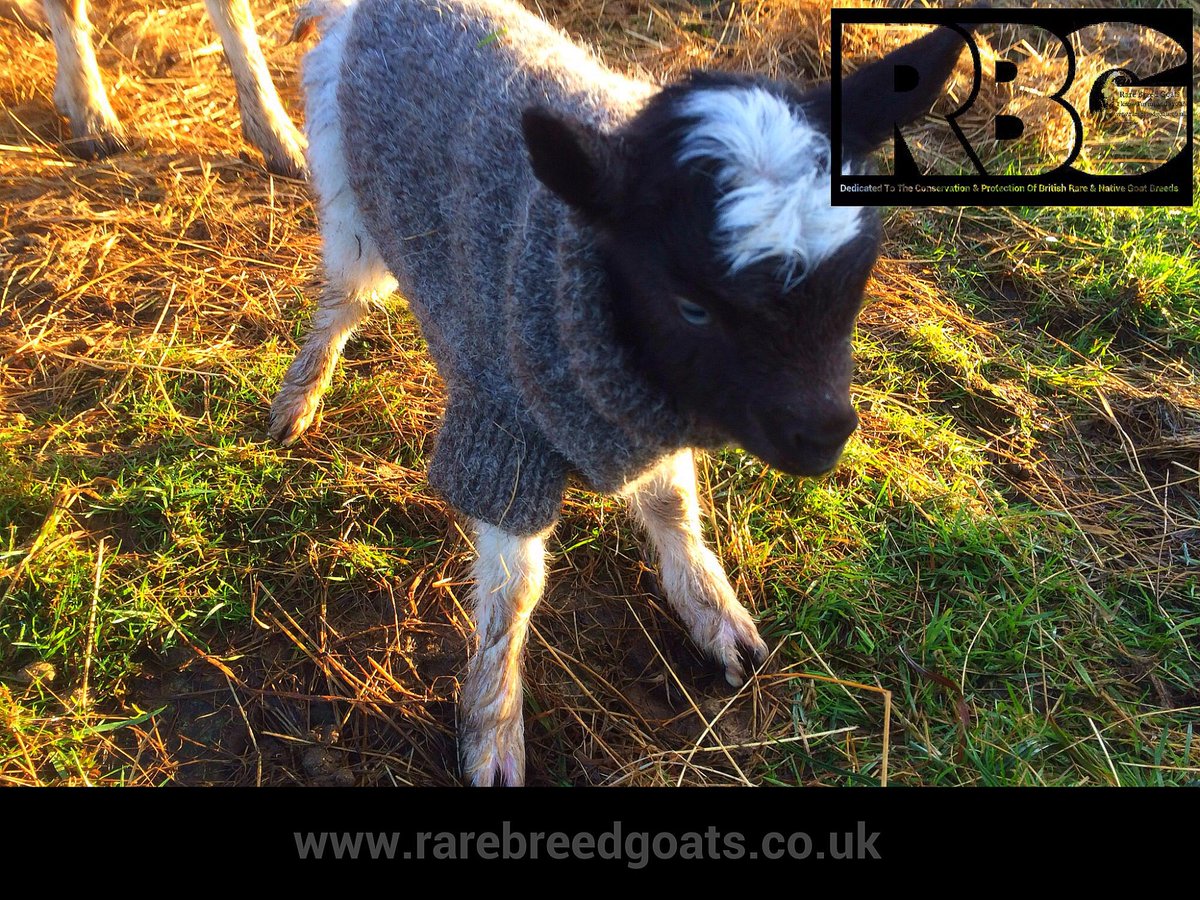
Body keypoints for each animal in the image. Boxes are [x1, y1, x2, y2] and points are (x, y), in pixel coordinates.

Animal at [270, 0, 967, 785]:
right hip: (350, 199)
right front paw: (493, 727)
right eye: (691, 305)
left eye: (857, 278)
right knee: (342, 299)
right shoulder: (506, 433)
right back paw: (298, 398)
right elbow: (512, 596)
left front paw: (715, 615)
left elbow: (670, 504)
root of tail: (362, 11)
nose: (822, 440)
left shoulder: (657, 411)